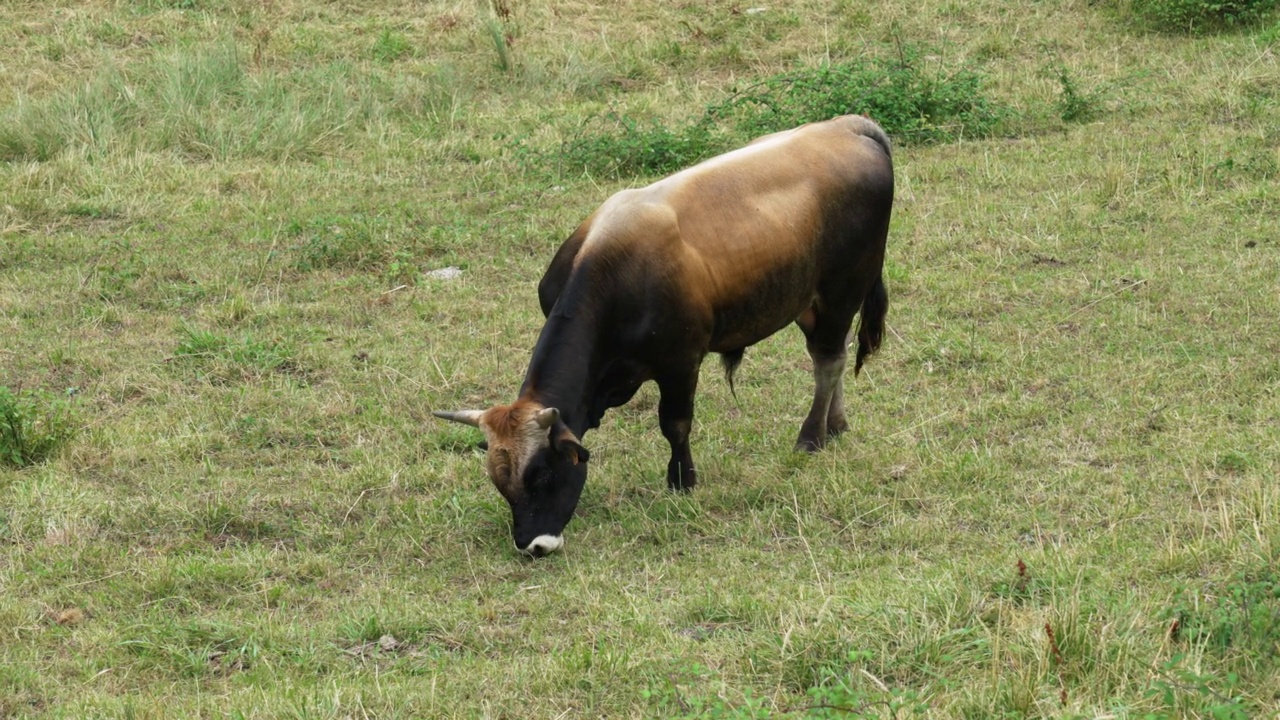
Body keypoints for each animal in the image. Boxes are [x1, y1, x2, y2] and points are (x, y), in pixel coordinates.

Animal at [435, 114, 896, 556]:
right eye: (502, 484)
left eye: (544, 475)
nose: (533, 545)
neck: (610, 271)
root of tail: (849, 126)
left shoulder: (681, 362)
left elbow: (674, 423)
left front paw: (682, 480)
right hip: (807, 302)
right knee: (830, 358)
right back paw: (835, 425)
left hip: (841, 292)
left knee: (829, 361)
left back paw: (812, 436)